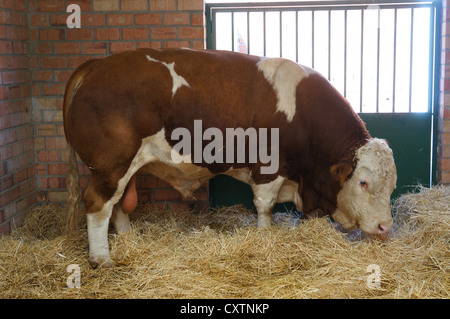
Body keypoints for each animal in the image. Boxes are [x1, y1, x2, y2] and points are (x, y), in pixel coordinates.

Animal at [64, 48, 398, 268]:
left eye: (392, 185)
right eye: (363, 182)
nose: (385, 228)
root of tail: (97, 65)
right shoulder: (270, 167)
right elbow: (265, 206)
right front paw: (264, 236)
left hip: (124, 167)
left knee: (118, 204)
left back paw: (128, 238)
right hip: (110, 165)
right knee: (98, 204)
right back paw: (101, 258)